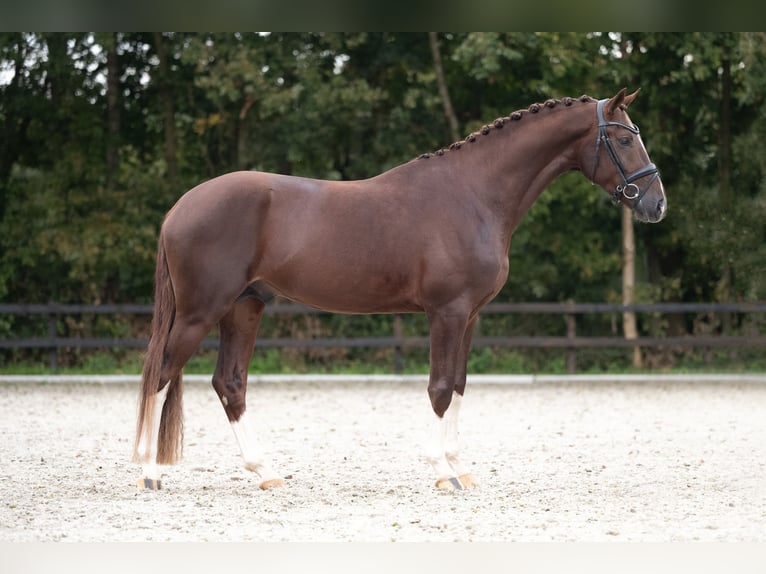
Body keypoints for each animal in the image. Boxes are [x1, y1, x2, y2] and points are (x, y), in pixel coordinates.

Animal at [135, 88, 668, 492]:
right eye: (624, 138)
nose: (656, 204)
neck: (474, 195)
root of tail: (181, 206)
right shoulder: (447, 313)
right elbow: (438, 388)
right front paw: (441, 472)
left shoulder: (470, 316)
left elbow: (458, 385)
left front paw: (461, 468)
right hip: (201, 312)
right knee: (160, 373)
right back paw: (149, 472)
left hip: (244, 307)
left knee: (230, 383)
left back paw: (265, 473)